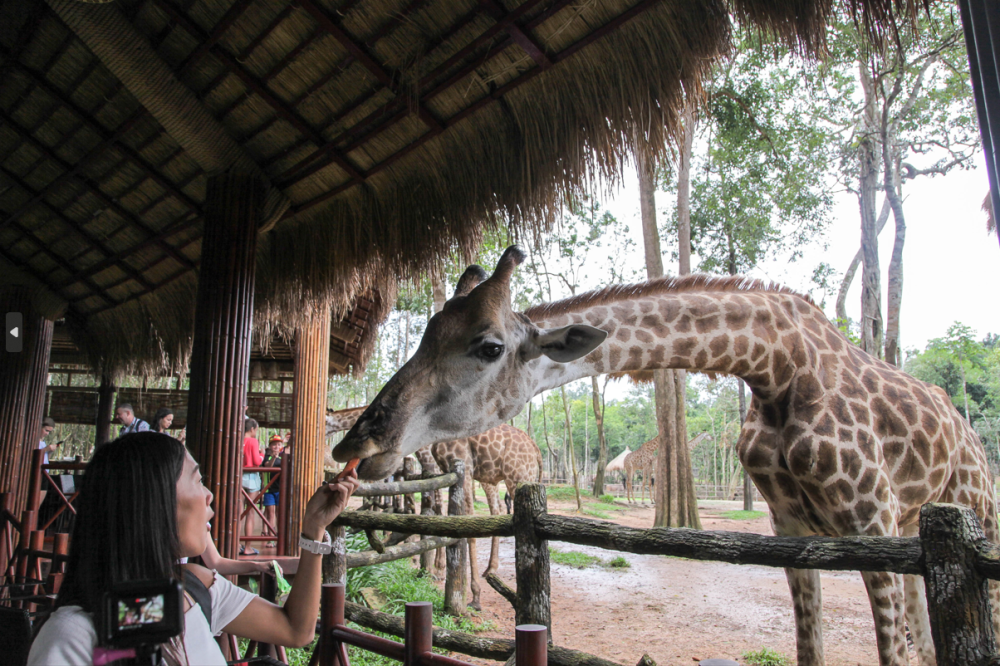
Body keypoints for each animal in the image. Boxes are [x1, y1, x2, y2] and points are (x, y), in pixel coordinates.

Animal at [326, 408, 540, 608]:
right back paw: (491, 570)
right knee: (497, 511)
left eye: (327, 422)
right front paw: (435, 567)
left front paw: (472, 594)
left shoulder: (461, 469)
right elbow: (437, 514)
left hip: (517, 477)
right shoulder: (443, 471)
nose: (333, 452)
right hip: (498, 478)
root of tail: (536, 450)